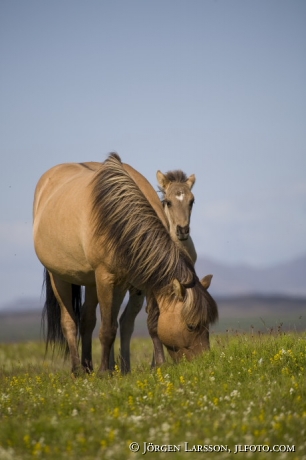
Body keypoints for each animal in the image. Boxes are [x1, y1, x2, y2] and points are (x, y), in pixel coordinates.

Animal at [33, 153, 218, 376]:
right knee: (69, 322)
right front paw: (105, 373)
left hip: (94, 282)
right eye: (191, 326)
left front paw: (155, 365)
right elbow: (107, 329)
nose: (204, 363)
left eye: (207, 325)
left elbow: (146, 324)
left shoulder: (135, 280)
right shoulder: (106, 277)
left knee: (88, 320)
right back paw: (78, 371)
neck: (120, 221)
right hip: (60, 277)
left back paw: (89, 367)